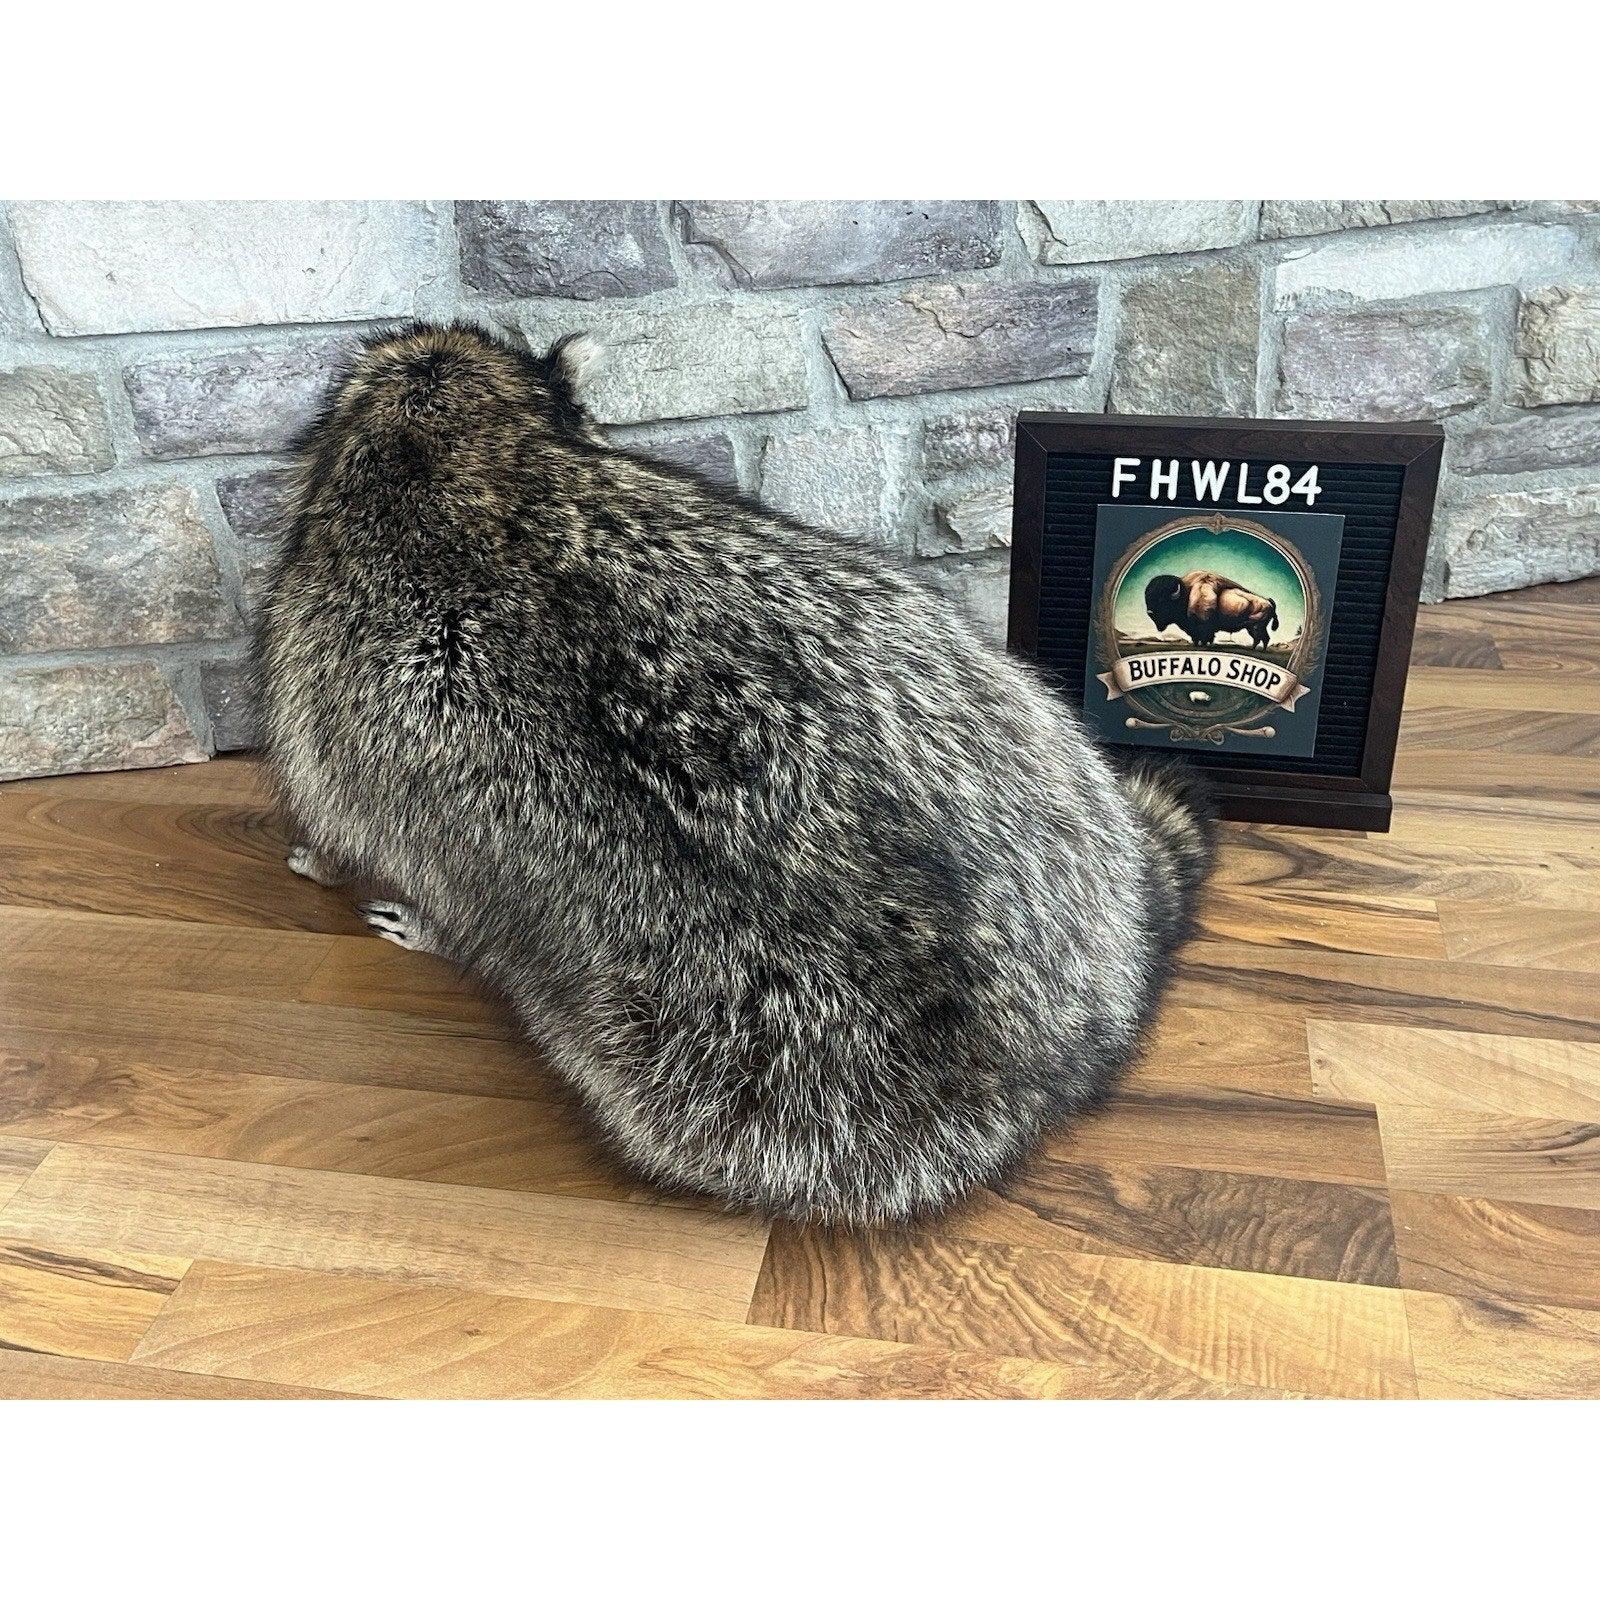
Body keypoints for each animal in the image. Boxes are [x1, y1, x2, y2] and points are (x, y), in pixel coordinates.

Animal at [256, 321, 1214, 1227]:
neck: (461, 463)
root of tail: (1064, 1037)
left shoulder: (334, 703)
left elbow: (385, 842)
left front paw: (367, 886)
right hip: (1005, 708)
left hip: (750, 1065)